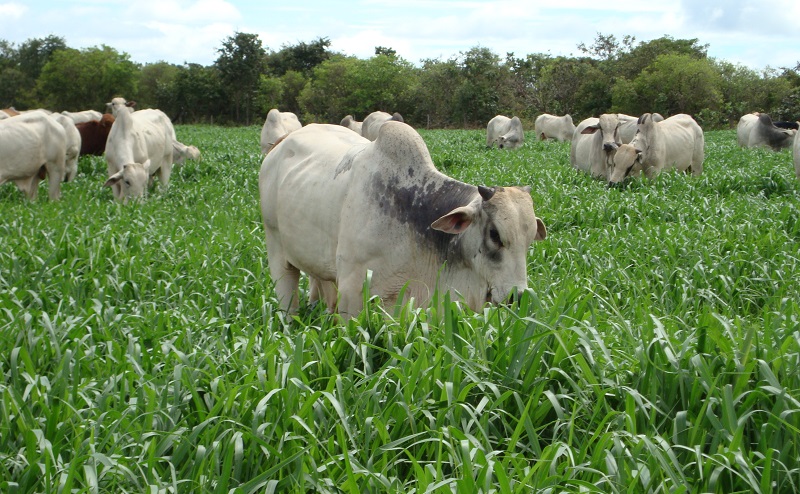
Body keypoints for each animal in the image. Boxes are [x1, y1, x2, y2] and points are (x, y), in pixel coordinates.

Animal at [260, 121, 548, 318]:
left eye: (529, 241)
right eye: (495, 235)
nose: (518, 297)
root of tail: (282, 142)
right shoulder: (352, 294)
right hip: (277, 252)